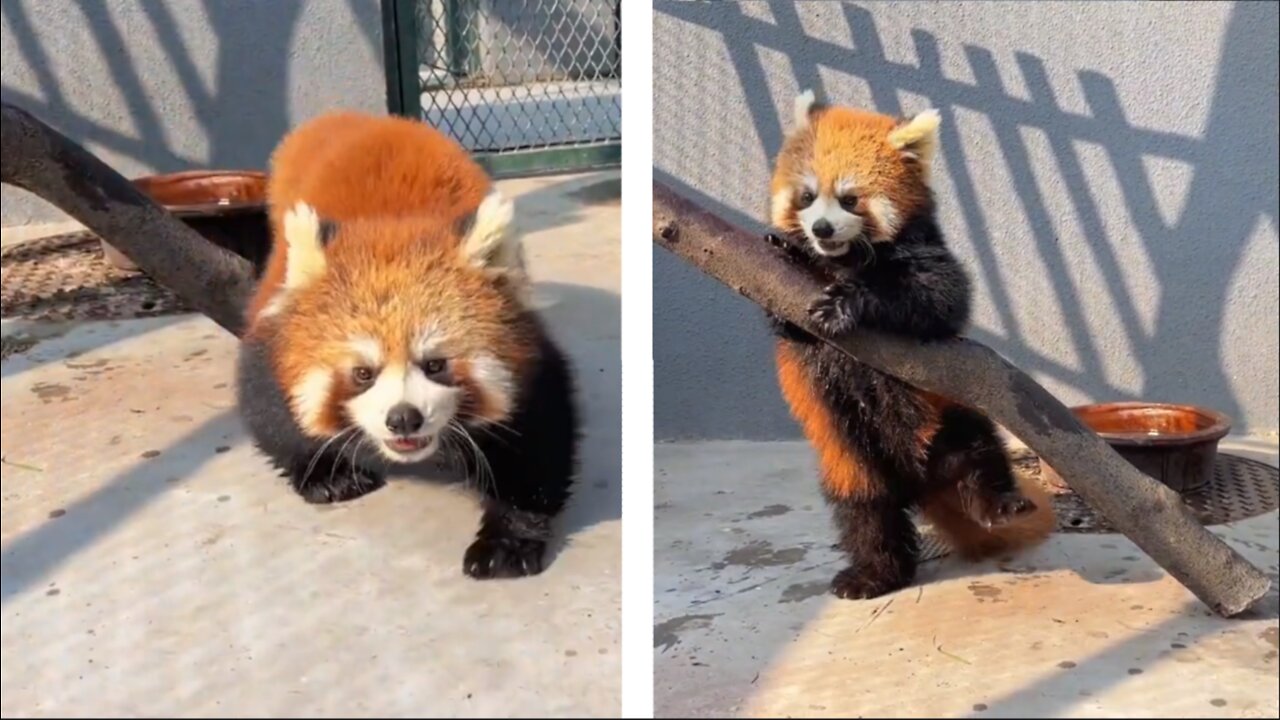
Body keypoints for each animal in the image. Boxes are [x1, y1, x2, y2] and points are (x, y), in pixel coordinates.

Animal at [238, 110, 578, 576]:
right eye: (362, 373)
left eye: (435, 364)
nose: (403, 418)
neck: (391, 226)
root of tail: (356, 117)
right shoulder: (275, 328)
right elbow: (269, 408)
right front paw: (327, 473)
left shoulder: (527, 356)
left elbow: (534, 443)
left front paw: (507, 540)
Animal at [757, 92, 1049, 597]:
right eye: (807, 196)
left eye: (850, 199)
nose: (822, 230)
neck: (842, 261)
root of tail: (919, 484)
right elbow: (790, 328)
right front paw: (787, 246)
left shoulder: (925, 255)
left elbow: (937, 297)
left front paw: (848, 302)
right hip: (850, 459)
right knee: (865, 513)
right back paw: (872, 573)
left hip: (948, 414)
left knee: (980, 450)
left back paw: (999, 502)